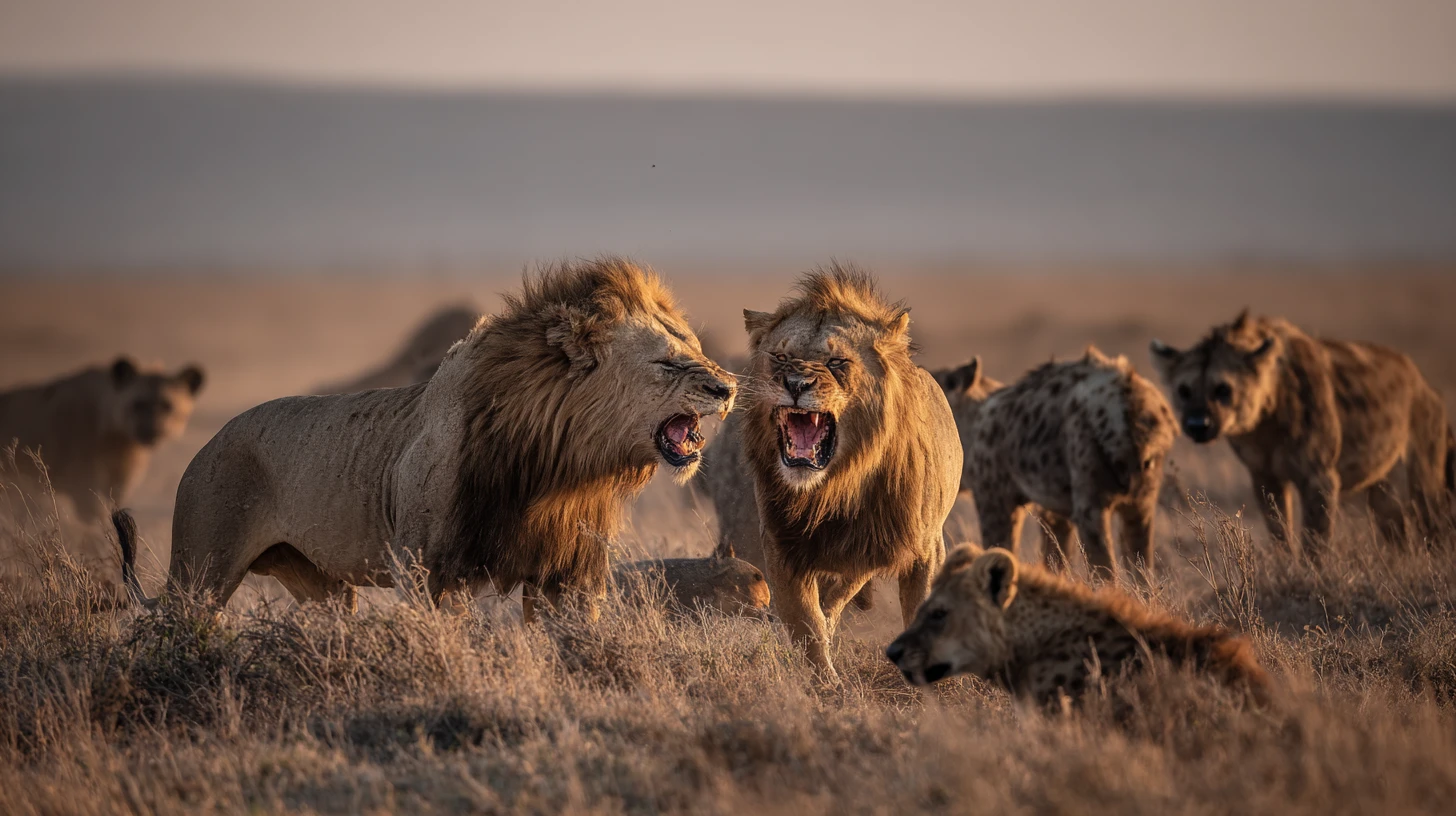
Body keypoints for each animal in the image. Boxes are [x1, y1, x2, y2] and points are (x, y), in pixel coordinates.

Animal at [0, 357, 204, 522]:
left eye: (167, 405)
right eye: (138, 404)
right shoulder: (83, 488)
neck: (120, 444)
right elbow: (97, 524)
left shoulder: (118, 486)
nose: (151, 431)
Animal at [707, 263, 961, 682]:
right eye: (780, 356)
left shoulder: (920, 547)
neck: (833, 486)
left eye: (837, 362)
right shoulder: (782, 546)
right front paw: (824, 684)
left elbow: (916, 608)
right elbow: (805, 622)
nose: (795, 383)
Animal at [933, 348, 1177, 582]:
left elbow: (1000, 548)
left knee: (1105, 568)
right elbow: (1055, 558)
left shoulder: (994, 499)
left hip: (1091, 497)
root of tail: (1132, 403)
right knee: (1142, 567)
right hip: (1142, 501)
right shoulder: (1054, 510)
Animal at [1151, 310, 1454, 554]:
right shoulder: (1264, 476)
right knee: (1397, 529)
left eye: (1223, 389)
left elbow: (1315, 542)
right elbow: (1279, 534)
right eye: (1184, 391)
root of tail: (1427, 387)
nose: (1197, 424)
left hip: (1423, 478)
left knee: (1435, 523)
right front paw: (1286, 570)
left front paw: (1314, 578)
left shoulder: (1319, 477)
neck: (1265, 424)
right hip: (1384, 489)